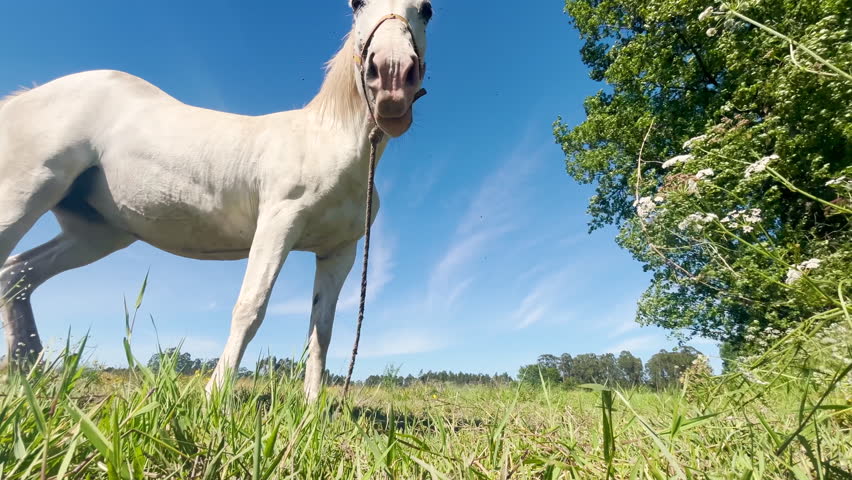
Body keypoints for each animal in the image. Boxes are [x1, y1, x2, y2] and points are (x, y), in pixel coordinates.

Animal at [0, 0, 432, 400]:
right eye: (357, 4)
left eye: (426, 9)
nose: (392, 75)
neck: (330, 139)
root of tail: (23, 99)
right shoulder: (278, 225)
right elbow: (250, 308)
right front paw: (214, 398)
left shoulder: (339, 251)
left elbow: (320, 330)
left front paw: (313, 412)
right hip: (25, 197)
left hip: (96, 235)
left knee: (17, 275)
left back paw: (29, 378)